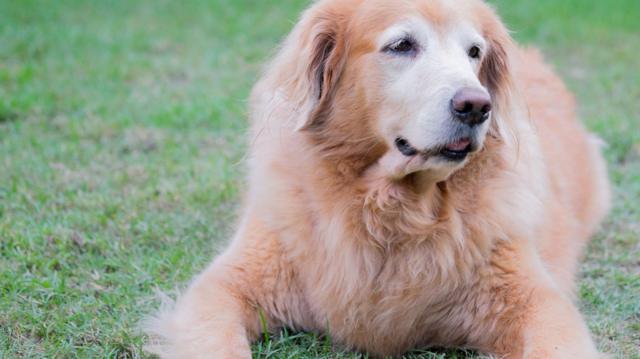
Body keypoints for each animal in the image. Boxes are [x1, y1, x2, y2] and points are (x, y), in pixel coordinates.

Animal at [145, 1, 608, 358]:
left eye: (474, 51)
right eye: (402, 46)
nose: (477, 105)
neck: (392, 207)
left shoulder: (538, 302)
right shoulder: (224, 285)